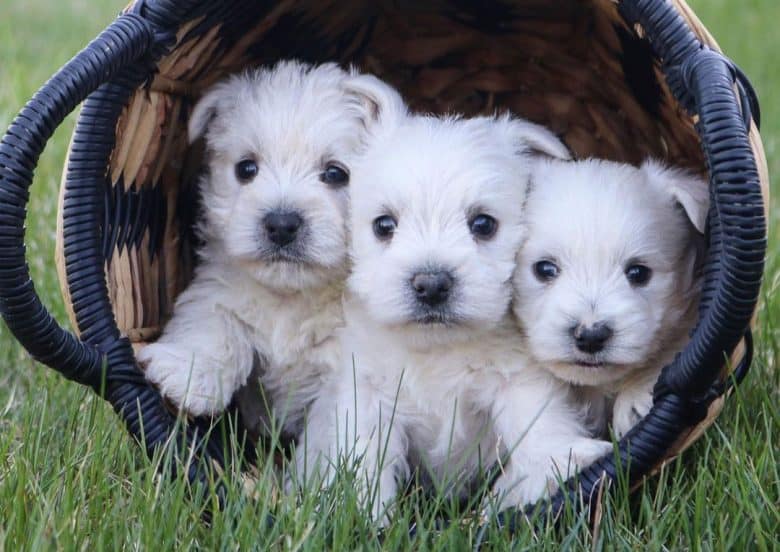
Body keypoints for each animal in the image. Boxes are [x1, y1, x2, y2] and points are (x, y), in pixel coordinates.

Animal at [138, 60, 368, 436]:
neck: (290, 297)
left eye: (336, 173)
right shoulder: (219, 288)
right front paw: (185, 378)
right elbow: (213, 326)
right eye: (246, 168)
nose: (282, 224)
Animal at [296, 75, 612, 520]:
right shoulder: (368, 394)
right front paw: (365, 515)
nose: (431, 284)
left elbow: (537, 422)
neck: (437, 348)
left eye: (483, 224)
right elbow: (366, 458)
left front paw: (561, 465)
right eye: (384, 225)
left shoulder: (518, 378)